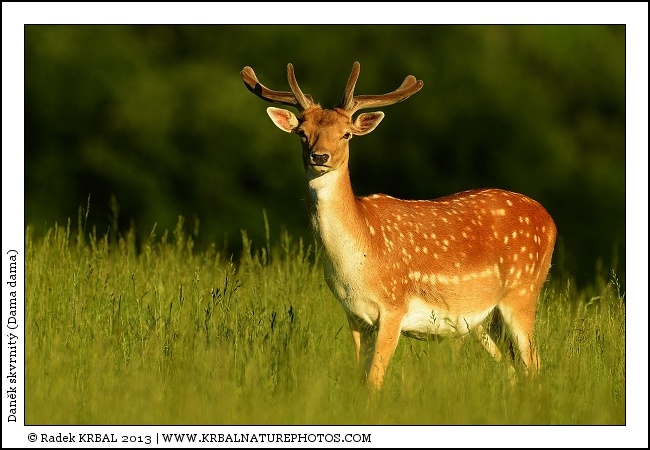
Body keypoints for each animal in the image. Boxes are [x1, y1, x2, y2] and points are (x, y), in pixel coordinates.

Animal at [241, 61, 557, 390]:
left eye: (346, 135)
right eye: (302, 133)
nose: (320, 156)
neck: (359, 260)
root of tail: (549, 220)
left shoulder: (393, 307)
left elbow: (374, 381)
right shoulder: (355, 315)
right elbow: (361, 377)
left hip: (522, 292)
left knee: (533, 364)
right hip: (482, 319)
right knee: (513, 370)